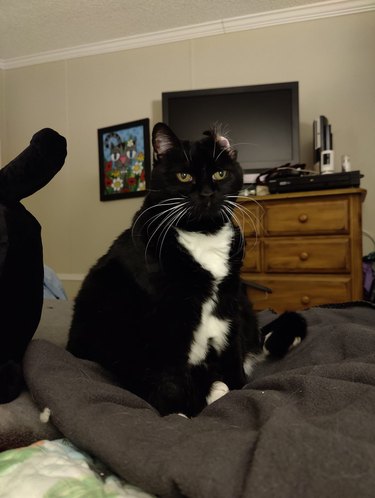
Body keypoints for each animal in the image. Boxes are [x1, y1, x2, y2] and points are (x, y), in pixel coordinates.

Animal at [67, 123, 306, 416]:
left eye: (219, 173)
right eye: (184, 175)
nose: (206, 193)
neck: (204, 235)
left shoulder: (229, 301)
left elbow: (231, 349)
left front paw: (235, 387)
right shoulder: (167, 314)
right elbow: (169, 374)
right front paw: (182, 409)